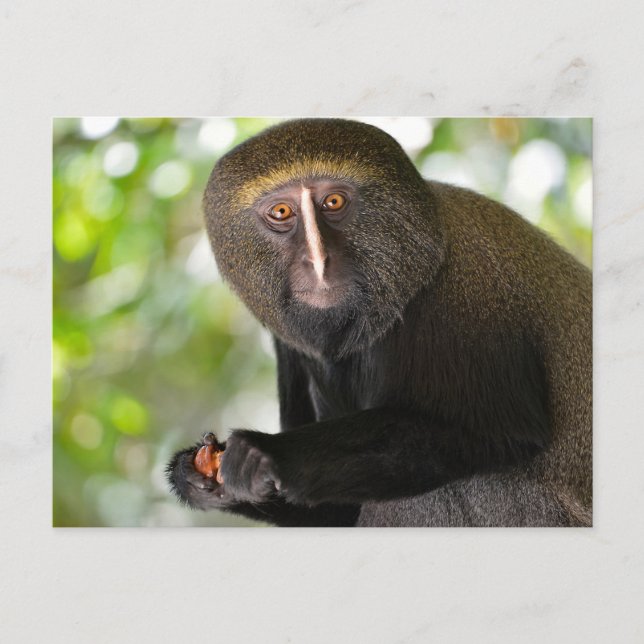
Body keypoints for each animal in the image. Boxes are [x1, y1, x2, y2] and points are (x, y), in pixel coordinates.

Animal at [167, 118, 592, 527]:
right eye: (282, 212)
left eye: (333, 201)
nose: (318, 261)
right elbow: (335, 510)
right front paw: (195, 476)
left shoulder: (468, 289)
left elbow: (495, 431)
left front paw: (269, 453)